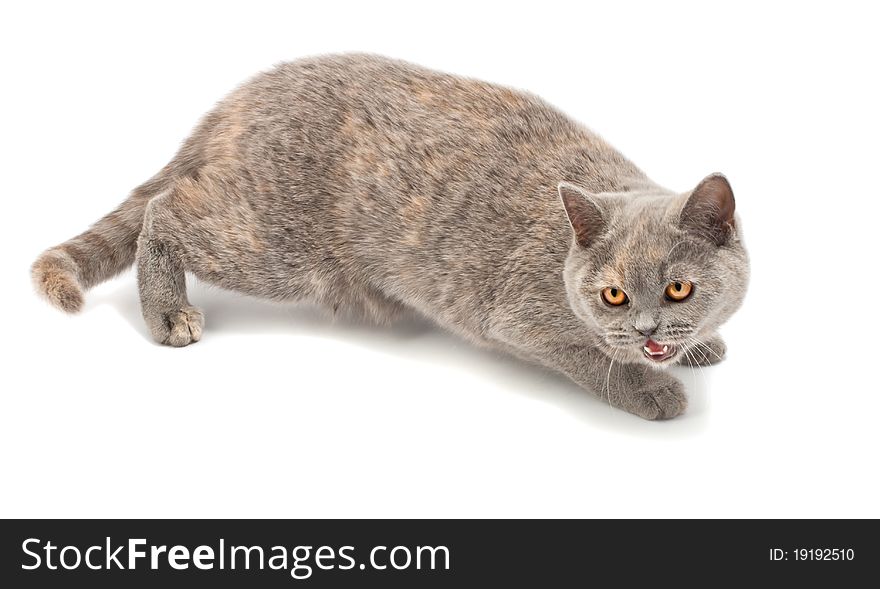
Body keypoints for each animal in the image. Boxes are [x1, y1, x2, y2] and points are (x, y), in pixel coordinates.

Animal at [34, 51, 748, 418]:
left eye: (679, 290)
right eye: (613, 296)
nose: (649, 330)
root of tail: (247, 93)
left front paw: (695, 347)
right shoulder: (523, 319)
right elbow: (593, 360)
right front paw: (649, 389)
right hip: (278, 245)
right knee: (166, 212)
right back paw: (168, 311)